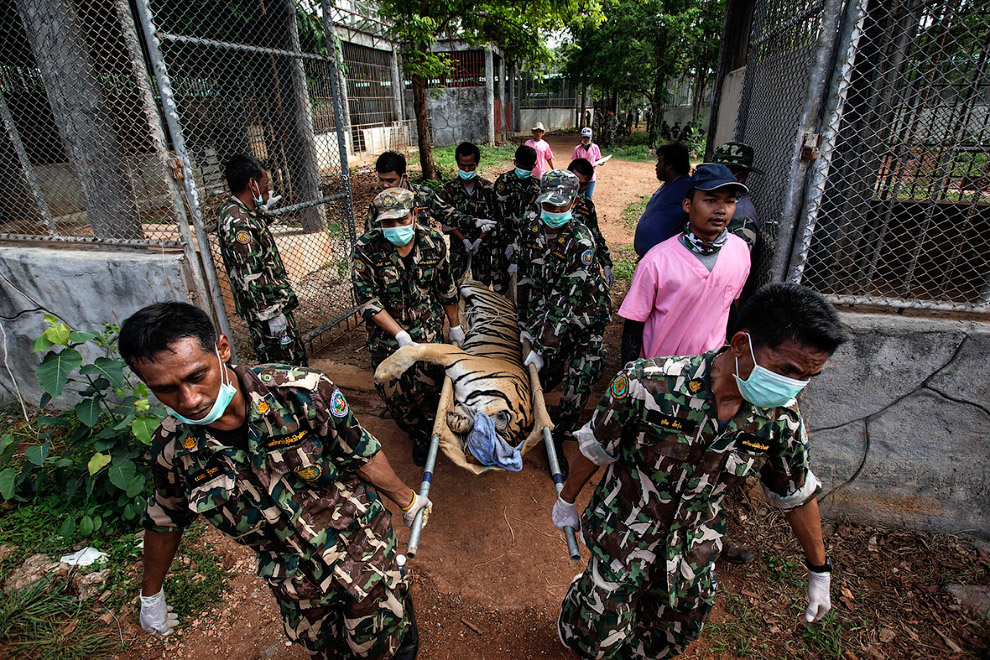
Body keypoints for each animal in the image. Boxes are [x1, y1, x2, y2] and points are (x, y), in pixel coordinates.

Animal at [376, 280, 540, 470]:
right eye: (487, 447)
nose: (469, 458)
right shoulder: (456, 356)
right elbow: (420, 349)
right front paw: (383, 371)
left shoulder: (466, 401)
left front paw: (457, 421)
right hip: (474, 289)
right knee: (461, 286)